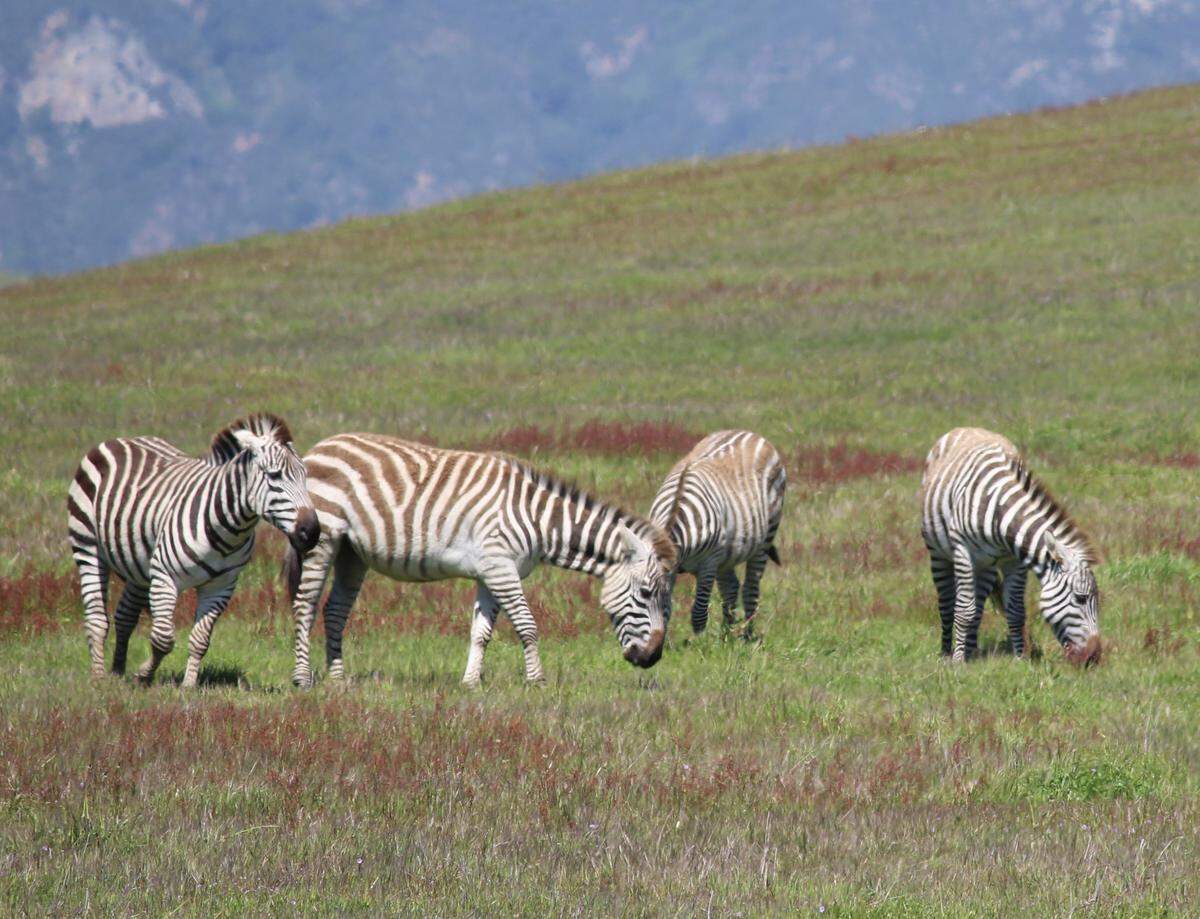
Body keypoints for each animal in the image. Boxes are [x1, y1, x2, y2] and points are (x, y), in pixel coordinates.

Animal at [67, 413, 319, 687]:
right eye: (274, 476)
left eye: (306, 475)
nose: (312, 531)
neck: (228, 527)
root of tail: (120, 440)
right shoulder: (165, 577)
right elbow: (163, 639)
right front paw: (144, 674)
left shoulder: (221, 585)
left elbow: (200, 640)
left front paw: (188, 685)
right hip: (88, 547)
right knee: (97, 619)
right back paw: (98, 676)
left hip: (140, 566)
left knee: (125, 616)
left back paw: (117, 671)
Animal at [284, 433, 678, 688]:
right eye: (645, 593)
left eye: (666, 598)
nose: (653, 658)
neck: (537, 518)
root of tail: (322, 446)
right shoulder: (500, 568)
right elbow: (527, 624)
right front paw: (537, 681)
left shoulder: (490, 572)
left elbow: (481, 633)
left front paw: (471, 682)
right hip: (325, 539)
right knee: (305, 606)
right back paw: (302, 679)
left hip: (352, 552)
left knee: (335, 609)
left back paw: (339, 679)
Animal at [648, 430, 786, 634]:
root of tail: (749, 433)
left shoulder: (709, 563)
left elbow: (699, 614)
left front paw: (700, 641)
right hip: (727, 554)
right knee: (731, 588)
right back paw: (726, 636)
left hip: (765, 537)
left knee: (750, 589)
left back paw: (748, 636)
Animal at [920, 426, 1102, 665]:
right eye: (1080, 599)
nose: (1094, 658)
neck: (1000, 513)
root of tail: (969, 427)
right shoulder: (963, 552)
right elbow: (964, 610)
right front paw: (957, 661)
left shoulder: (1015, 560)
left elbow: (1015, 610)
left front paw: (1021, 659)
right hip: (939, 555)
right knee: (947, 602)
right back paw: (946, 653)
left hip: (986, 565)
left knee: (978, 605)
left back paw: (972, 651)